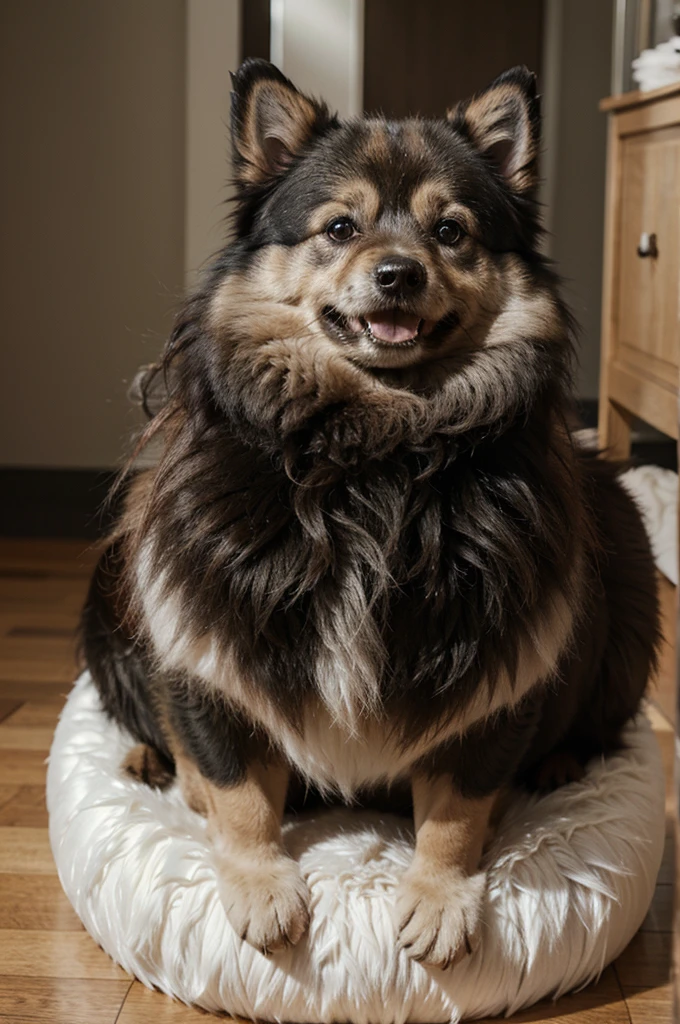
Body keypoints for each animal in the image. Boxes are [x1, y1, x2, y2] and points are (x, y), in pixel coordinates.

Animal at [79, 59, 659, 970]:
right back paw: (147, 757)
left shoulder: (498, 657)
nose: (398, 274)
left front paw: (441, 897)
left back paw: (561, 765)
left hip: (629, 573)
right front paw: (258, 881)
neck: (377, 444)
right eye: (340, 227)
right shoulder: (208, 639)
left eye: (451, 231)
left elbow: (458, 804)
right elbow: (236, 785)